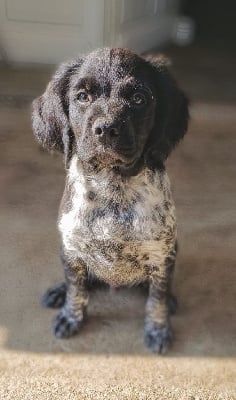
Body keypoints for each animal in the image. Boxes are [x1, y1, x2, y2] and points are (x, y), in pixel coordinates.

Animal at [32, 47, 189, 354]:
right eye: (82, 96)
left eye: (139, 99)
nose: (106, 129)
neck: (113, 187)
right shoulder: (72, 249)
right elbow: (77, 290)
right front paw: (71, 316)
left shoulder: (161, 255)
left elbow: (156, 300)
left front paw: (158, 329)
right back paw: (58, 292)